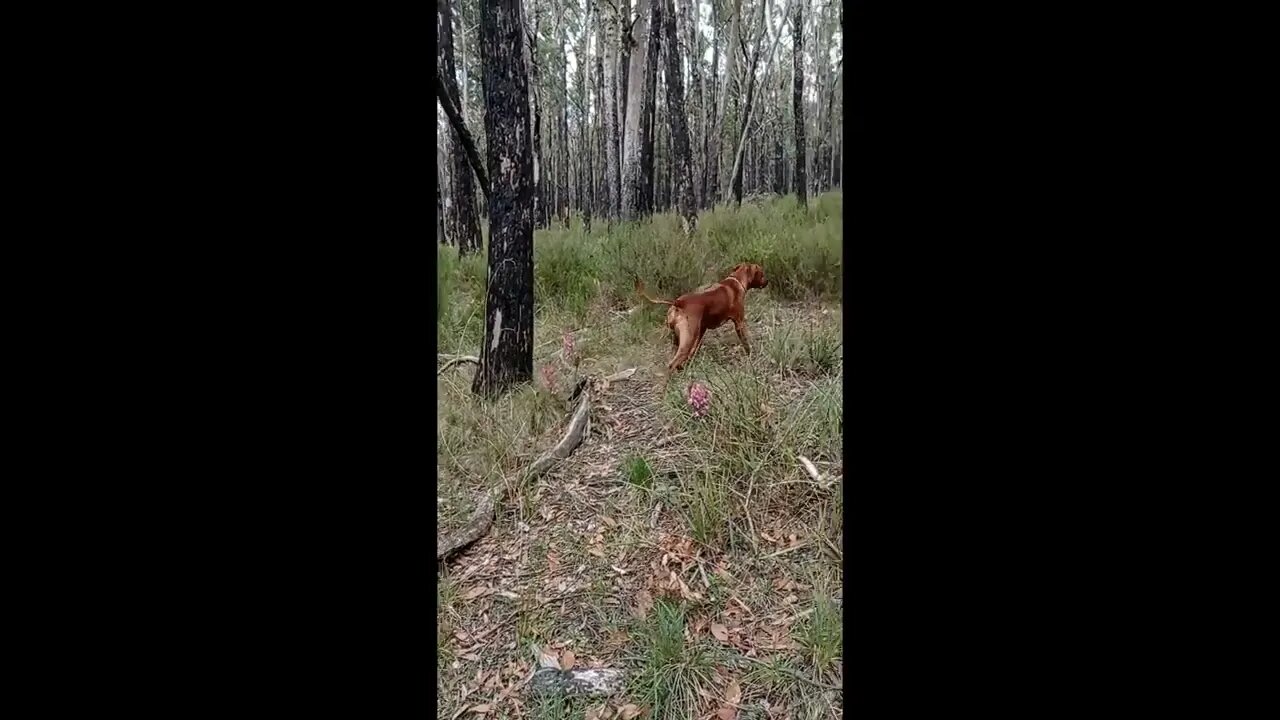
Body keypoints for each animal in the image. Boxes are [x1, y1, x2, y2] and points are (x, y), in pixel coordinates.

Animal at [632, 263, 762, 376]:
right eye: (762, 274)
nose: (766, 282)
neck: (736, 281)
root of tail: (678, 303)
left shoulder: (702, 330)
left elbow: (694, 350)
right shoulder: (739, 323)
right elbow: (746, 342)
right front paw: (750, 355)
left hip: (677, 339)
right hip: (687, 340)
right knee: (672, 364)